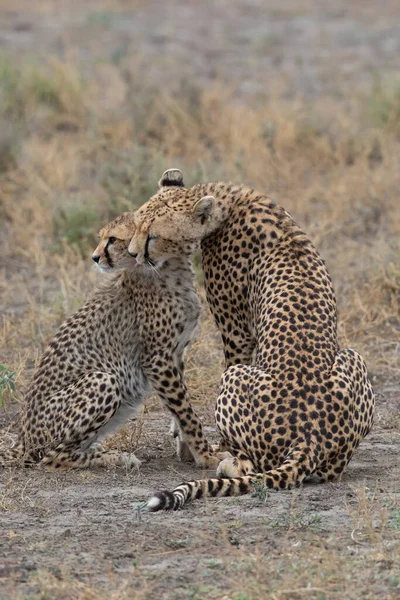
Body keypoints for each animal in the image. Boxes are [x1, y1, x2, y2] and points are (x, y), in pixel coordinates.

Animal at [0, 211, 217, 468]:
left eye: (112, 239)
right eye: (103, 238)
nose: (94, 257)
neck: (170, 268)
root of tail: (23, 439)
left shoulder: (177, 353)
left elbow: (181, 406)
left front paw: (187, 449)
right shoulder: (157, 359)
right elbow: (185, 410)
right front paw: (208, 456)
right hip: (103, 380)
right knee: (53, 458)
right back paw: (116, 457)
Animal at [126, 170, 376, 510]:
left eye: (153, 235)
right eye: (137, 224)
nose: (131, 254)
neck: (228, 202)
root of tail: (308, 437)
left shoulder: (237, 333)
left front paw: (205, 447)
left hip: (235, 378)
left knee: (250, 466)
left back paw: (227, 462)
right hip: (353, 358)